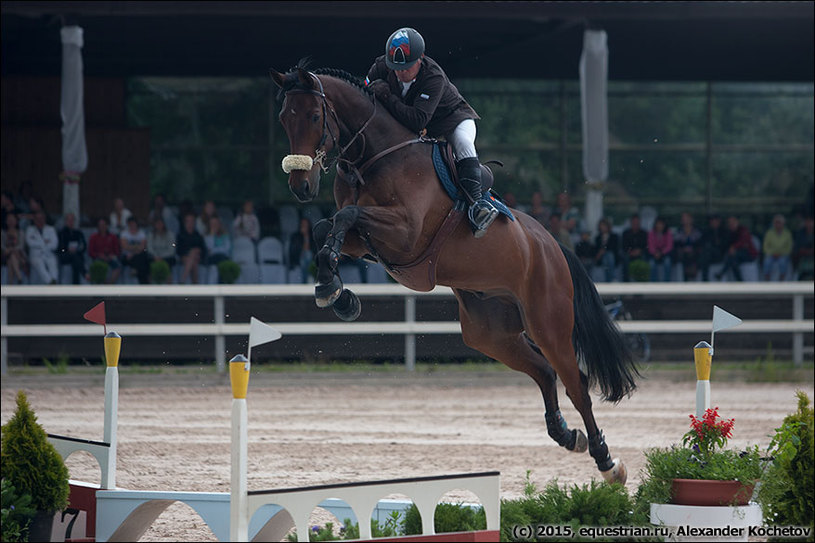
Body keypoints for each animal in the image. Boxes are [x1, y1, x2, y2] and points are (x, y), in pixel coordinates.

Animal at [270, 62, 640, 484]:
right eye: (284, 118)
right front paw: (335, 290)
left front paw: (334, 290)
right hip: (490, 333)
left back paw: (607, 461)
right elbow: (325, 229)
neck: (374, 156)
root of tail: (551, 245)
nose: (301, 186)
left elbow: (346, 216)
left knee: (576, 383)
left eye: (315, 117)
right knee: (545, 372)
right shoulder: (366, 242)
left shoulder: (405, 233)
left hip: (549, 324)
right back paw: (566, 435)